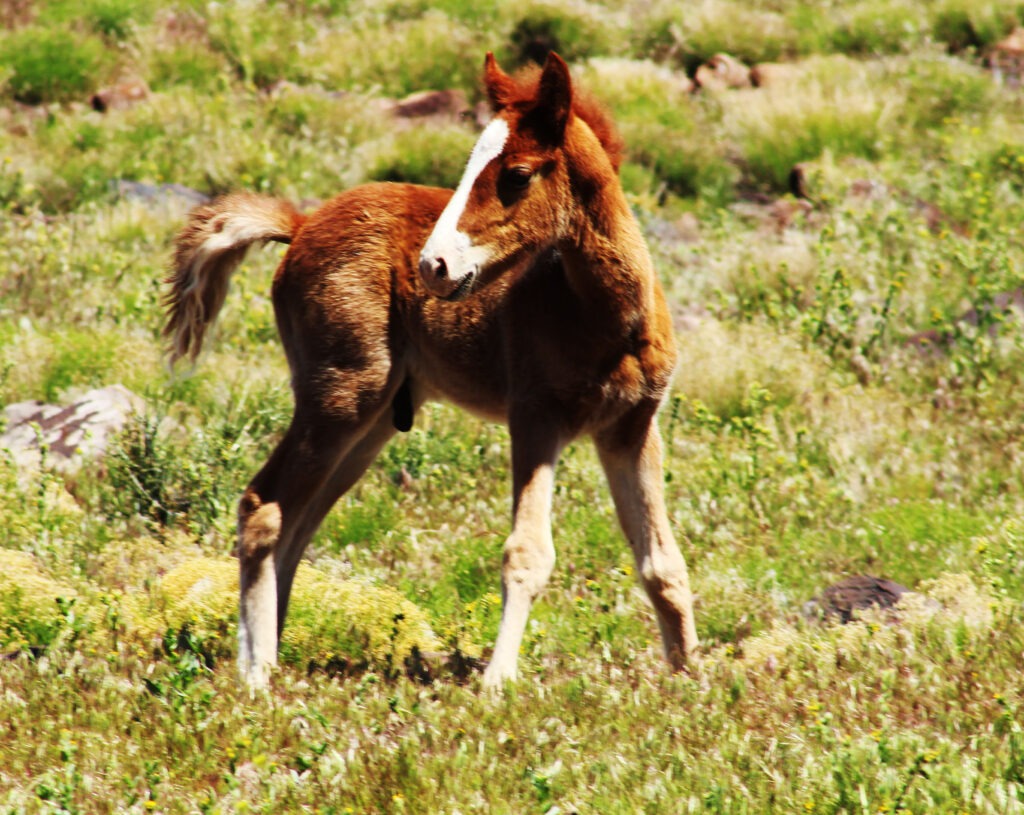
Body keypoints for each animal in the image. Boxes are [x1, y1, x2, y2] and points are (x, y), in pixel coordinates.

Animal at [164, 52, 699, 690]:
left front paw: (693, 677)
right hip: (340, 395)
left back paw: (276, 649)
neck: (604, 319)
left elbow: (661, 561)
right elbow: (527, 552)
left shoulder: (632, 427)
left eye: (517, 174)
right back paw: (258, 669)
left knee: (298, 521)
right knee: (263, 505)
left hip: (370, 422)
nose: (433, 266)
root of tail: (300, 226)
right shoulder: (536, 419)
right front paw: (498, 683)